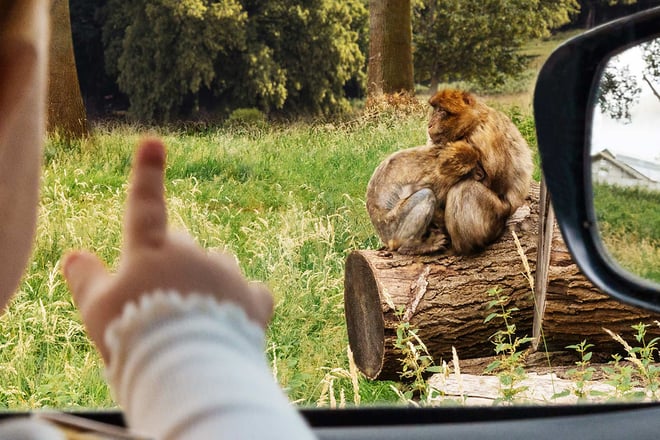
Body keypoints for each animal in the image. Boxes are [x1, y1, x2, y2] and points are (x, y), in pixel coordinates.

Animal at [366, 89, 533, 255]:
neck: (473, 122)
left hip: (498, 213)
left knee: (463, 189)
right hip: (392, 227)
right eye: (435, 110)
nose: (430, 124)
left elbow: (497, 182)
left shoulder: (484, 134)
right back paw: (411, 246)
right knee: (428, 195)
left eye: (441, 111)